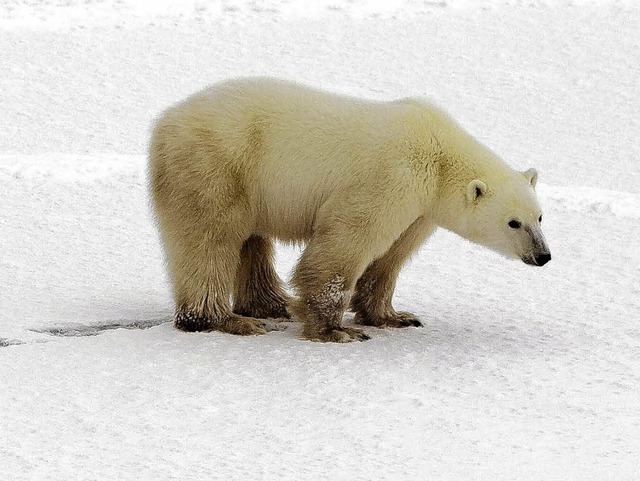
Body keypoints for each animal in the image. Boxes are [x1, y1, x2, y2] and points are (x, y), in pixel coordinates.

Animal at [150, 77, 552, 342]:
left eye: (539, 216)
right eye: (513, 223)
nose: (543, 255)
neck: (439, 152)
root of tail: (165, 120)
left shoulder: (420, 208)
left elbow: (391, 255)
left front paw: (395, 316)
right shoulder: (391, 175)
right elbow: (347, 242)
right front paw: (335, 330)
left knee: (250, 241)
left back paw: (272, 305)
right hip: (217, 165)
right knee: (210, 240)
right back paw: (225, 320)